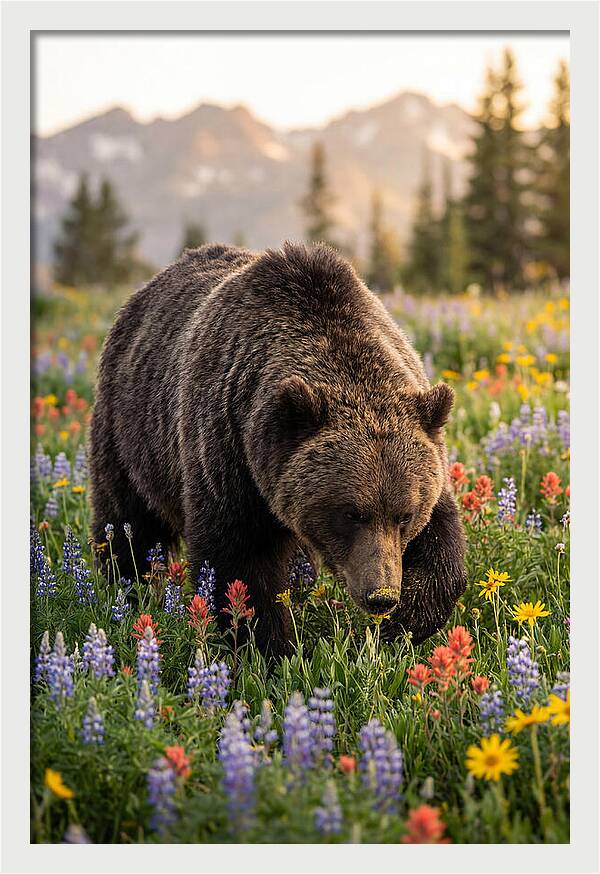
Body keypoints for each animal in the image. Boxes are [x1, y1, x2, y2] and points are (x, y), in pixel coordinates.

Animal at [89, 241, 466, 656]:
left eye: (404, 515)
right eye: (351, 513)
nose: (381, 595)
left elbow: (442, 543)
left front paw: (405, 624)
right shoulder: (229, 452)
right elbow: (239, 563)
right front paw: (268, 649)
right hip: (130, 432)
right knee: (128, 521)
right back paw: (126, 588)